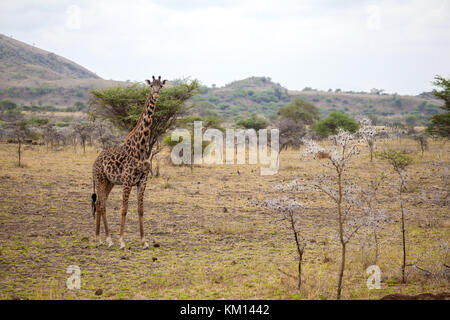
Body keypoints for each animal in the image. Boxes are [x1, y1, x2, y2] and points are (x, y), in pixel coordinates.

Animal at [90, 75, 166, 250]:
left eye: (161, 86)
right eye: (151, 86)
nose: (156, 94)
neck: (140, 148)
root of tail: (94, 162)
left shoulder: (142, 180)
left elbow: (140, 209)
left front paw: (144, 241)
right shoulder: (127, 181)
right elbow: (124, 209)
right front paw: (122, 241)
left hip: (109, 182)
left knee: (99, 203)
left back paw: (99, 238)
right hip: (100, 179)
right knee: (101, 204)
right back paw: (107, 239)